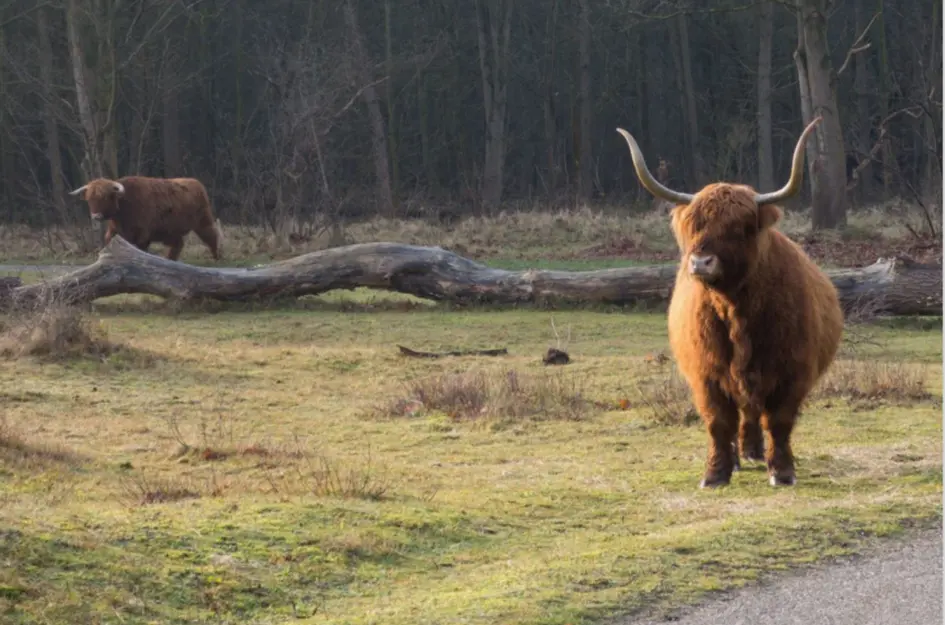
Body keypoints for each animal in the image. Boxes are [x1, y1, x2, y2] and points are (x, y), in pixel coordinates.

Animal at [68, 176, 223, 260]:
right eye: (89, 199)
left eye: (106, 197)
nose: (96, 216)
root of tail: (196, 183)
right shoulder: (115, 232)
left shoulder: (142, 234)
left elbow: (140, 250)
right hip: (169, 231)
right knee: (178, 244)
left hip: (203, 222)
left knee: (211, 236)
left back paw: (216, 257)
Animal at [616, 117, 844, 488]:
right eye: (695, 225)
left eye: (739, 227)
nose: (700, 262)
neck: (735, 308)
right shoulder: (705, 374)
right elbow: (718, 422)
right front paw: (716, 473)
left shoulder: (792, 372)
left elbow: (778, 421)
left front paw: (782, 471)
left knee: (754, 413)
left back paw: (754, 452)